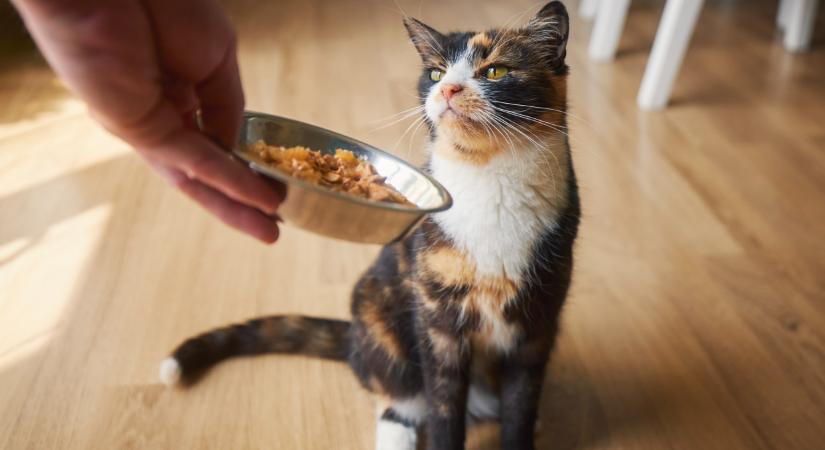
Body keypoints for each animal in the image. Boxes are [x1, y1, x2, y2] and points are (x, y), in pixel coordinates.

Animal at [158, 1, 576, 448]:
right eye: (436, 73)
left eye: (495, 71)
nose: (448, 89)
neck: (491, 179)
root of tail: (354, 337)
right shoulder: (437, 323)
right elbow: (444, 407)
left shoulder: (537, 324)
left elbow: (521, 403)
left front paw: (522, 430)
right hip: (380, 320)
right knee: (397, 402)